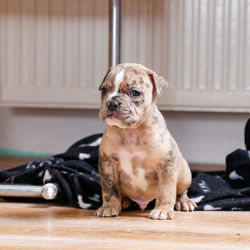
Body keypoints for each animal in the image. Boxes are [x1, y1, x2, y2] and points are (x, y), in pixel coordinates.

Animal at [95, 63, 195, 220]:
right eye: (104, 89)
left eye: (135, 93)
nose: (112, 103)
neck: (131, 132)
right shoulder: (107, 164)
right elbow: (109, 189)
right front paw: (109, 207)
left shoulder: (166, 165)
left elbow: (166, 190)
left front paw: (162, 210)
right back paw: (123, 201)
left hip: (184, 175)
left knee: (180, 191)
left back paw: (184, 202)